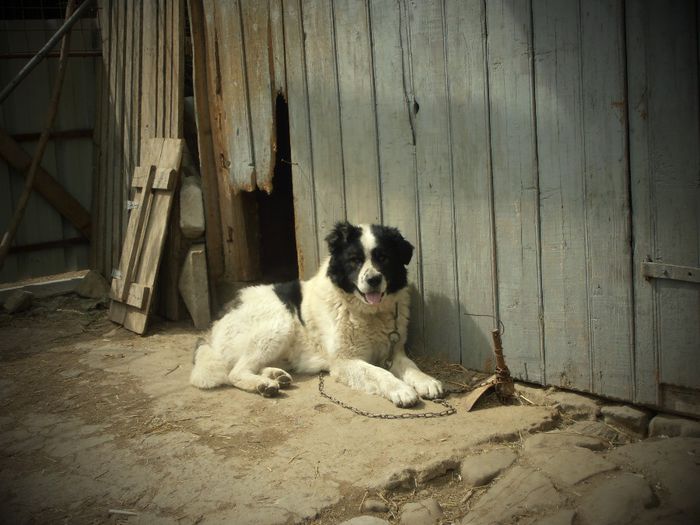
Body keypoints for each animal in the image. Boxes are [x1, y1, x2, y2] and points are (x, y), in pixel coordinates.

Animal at [190, 221, 442, 406]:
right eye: (355, 260)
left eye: (383, 258)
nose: (373, 279)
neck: (367, 313)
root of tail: (213, 329)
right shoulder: (345, 361)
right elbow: (379, 373)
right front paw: (401, 389)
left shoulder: (394, 351)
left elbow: (411, 367)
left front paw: (426, 381)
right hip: (279, 323)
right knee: (235, 372)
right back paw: (264, 385)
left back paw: (275, 376)